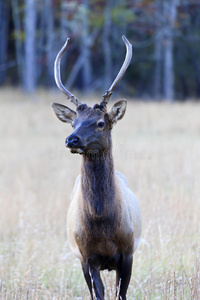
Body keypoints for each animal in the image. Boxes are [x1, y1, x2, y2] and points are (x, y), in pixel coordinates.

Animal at [52, 36, 142, 298]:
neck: (103, 223)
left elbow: (121, 294)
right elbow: (97, 294)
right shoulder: (86, 257)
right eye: (73, 122)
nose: (71, 139)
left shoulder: (127, 253)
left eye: (100, 122)